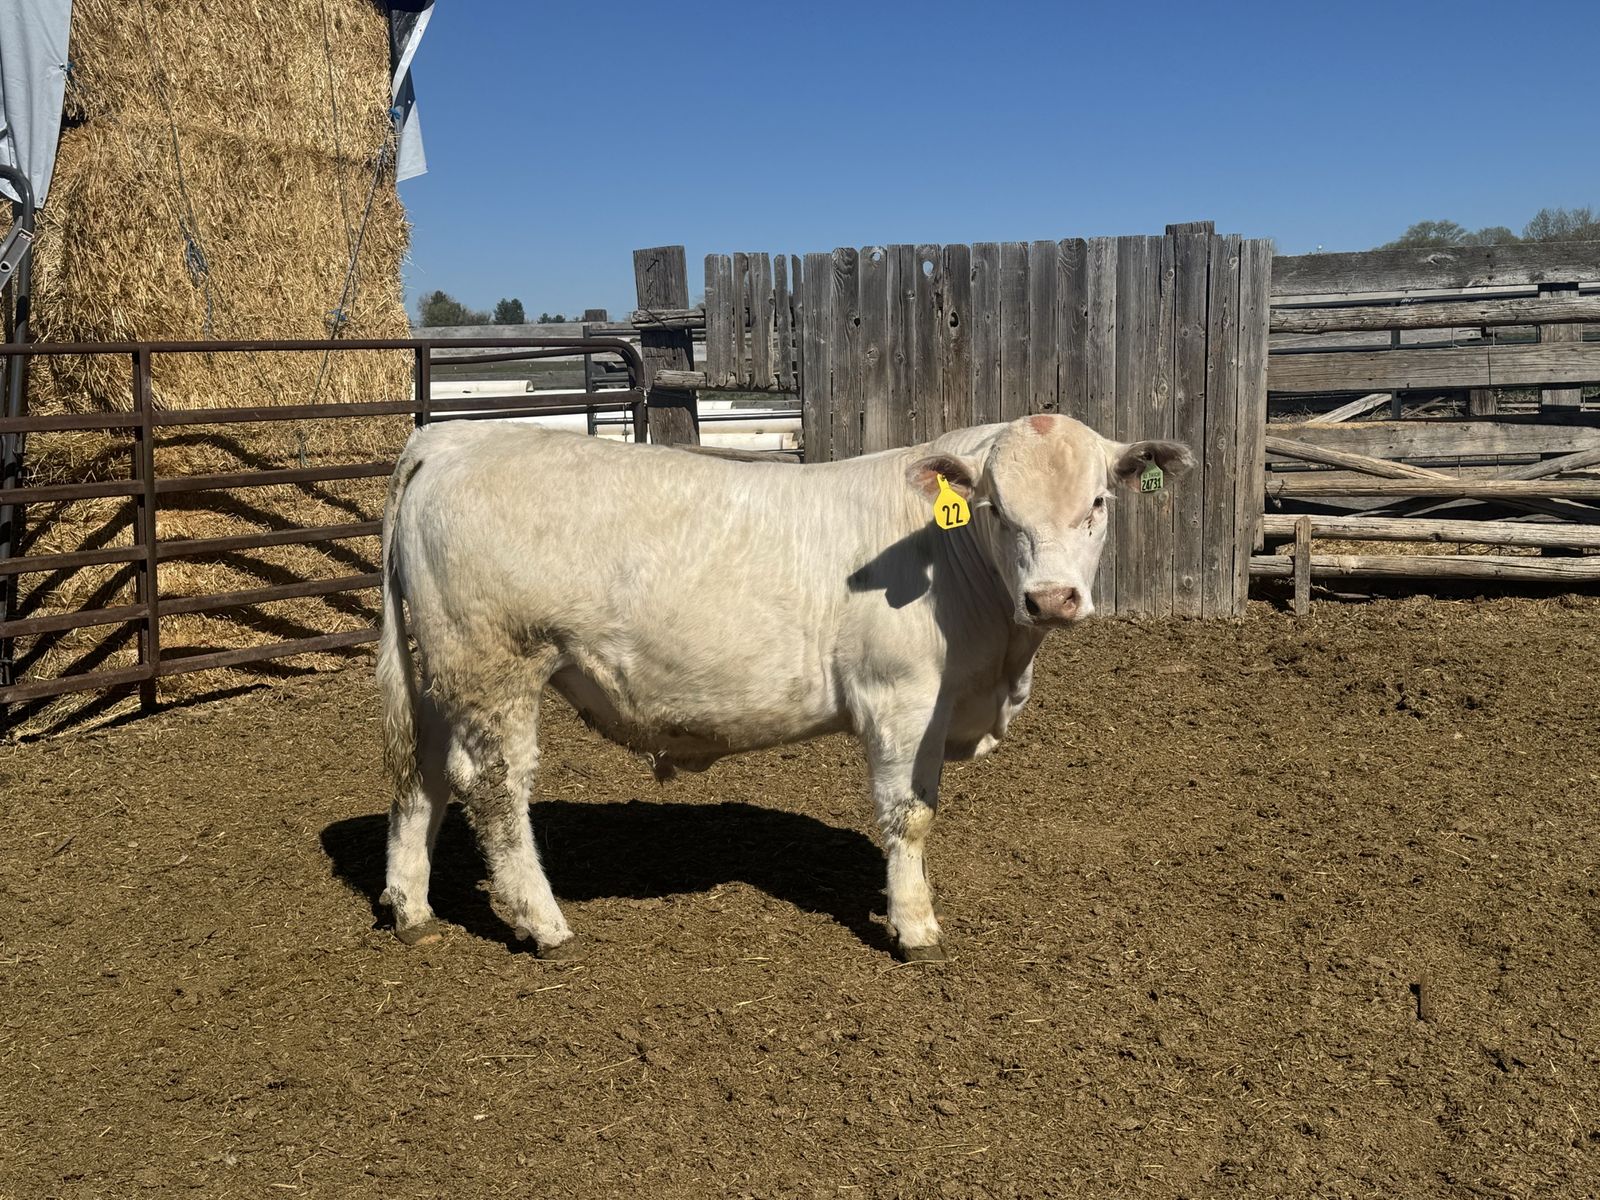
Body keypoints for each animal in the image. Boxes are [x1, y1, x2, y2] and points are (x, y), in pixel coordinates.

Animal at [375, 413, 1192, 961]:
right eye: (996, 509)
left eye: (1097, 503)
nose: (1050, 599)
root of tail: (450, 439)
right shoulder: (901, 699)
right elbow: (910, 817)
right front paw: (915, 927)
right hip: (497, 664)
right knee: (495, 789)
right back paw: (541, 921)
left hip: (444, 670)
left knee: (424, 776)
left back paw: (411, 908)